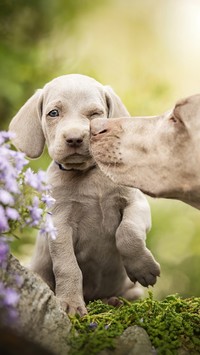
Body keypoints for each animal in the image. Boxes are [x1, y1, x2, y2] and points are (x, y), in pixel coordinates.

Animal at [9, 73, 160, 316]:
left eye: (95, 114)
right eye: (53, 113)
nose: (74, 138)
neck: (88, 174)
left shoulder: (136, 204)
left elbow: (127, 233)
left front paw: (143, 268)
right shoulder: (59, 224)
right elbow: (67, 266)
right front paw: (70, 302)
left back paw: (115, 300)